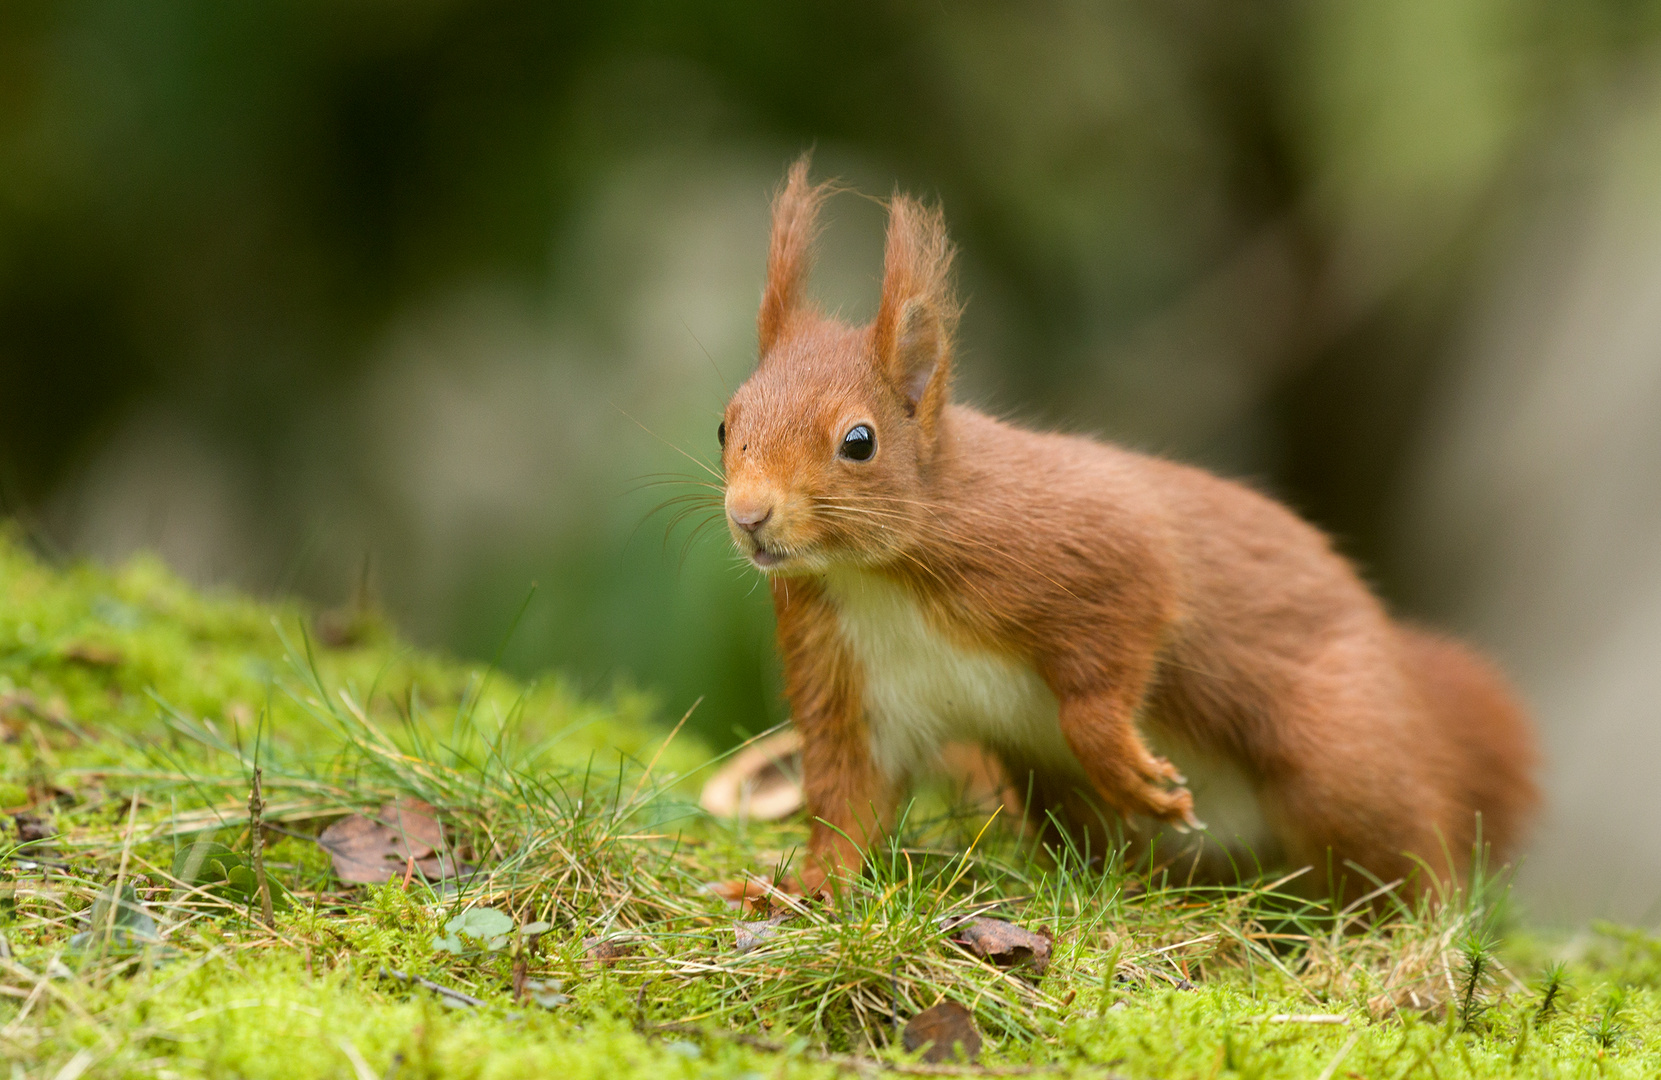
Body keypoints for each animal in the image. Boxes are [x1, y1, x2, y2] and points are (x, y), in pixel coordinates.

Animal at [720, 157, 1534, 897]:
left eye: (858, 442)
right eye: (725, 424)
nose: (748, 516)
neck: (876, 574)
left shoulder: (1094, 547)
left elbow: (1119, 647)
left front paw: (1131, 770)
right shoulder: (848, 670)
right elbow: (847, 794)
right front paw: (807, 887)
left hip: (1342, 754)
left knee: (1407, 855)